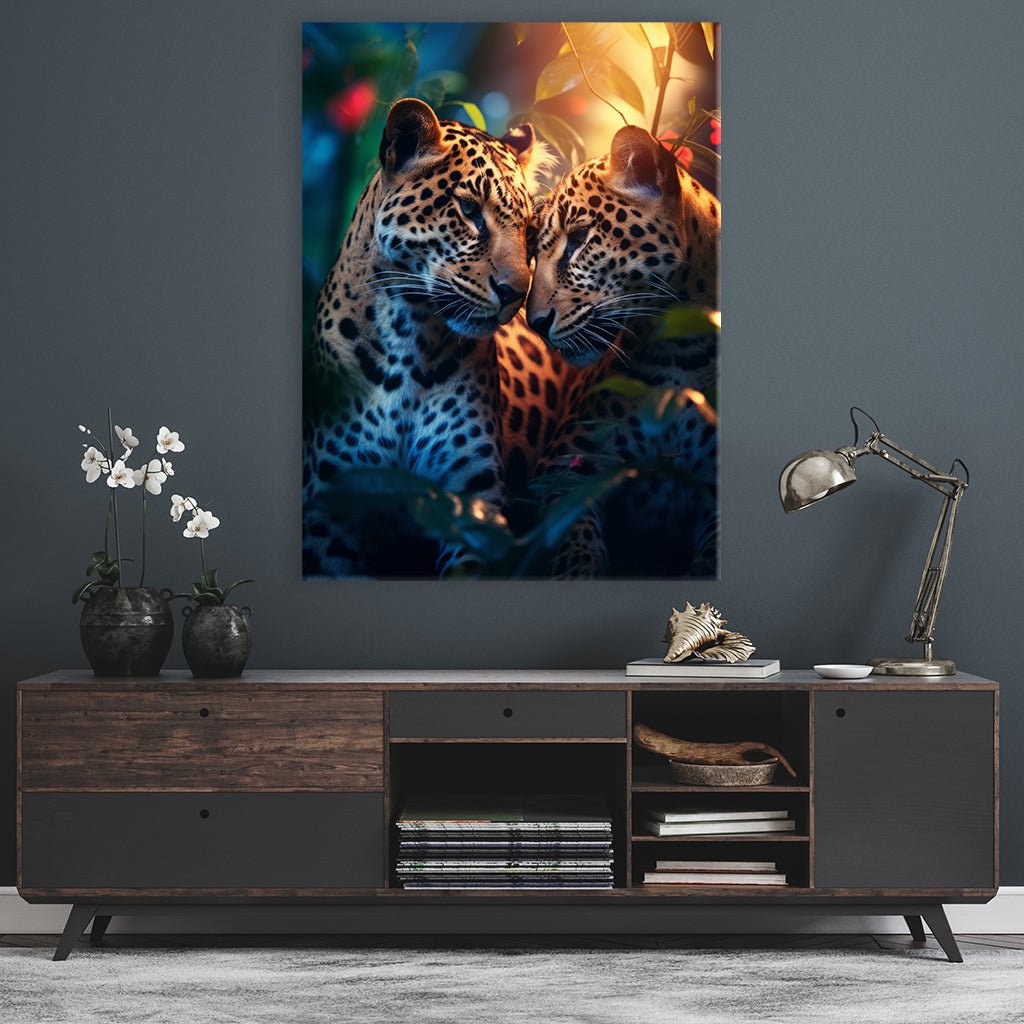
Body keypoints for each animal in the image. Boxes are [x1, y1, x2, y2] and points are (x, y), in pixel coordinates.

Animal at [302, 98, 553, 578]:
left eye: (530, 232)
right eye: (469, 211)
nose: (516, 293)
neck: (409, 335)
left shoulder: (472, 498)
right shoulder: (330, 509)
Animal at [508, 123, 721, 578]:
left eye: (579, 240)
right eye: (533, 249)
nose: (535, 323)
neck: (682, 347)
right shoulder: (563, 467)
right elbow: (574, 542)